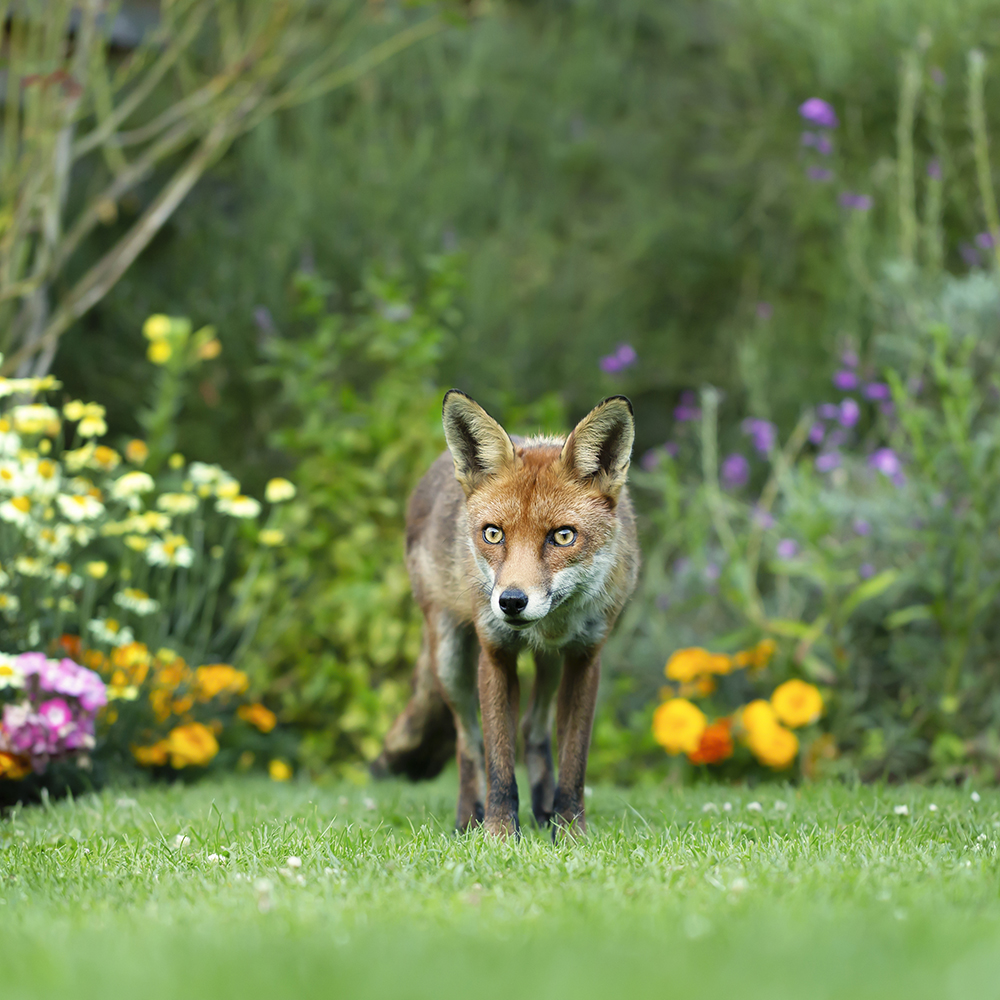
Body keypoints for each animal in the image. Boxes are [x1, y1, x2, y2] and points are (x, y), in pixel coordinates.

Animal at [372, 390, 636, 836]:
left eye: (563, 536)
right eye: (493, 534)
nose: (511, 601)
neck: (549, 626)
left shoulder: (585, 657)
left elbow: (574, 761)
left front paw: (570, 831)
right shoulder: (494, 652)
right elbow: (498, 760)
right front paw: (498, 833)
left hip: (549, 665)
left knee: (533, 728)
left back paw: (544, 812)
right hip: (449, 658)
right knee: (468, 741)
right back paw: (468, 819)